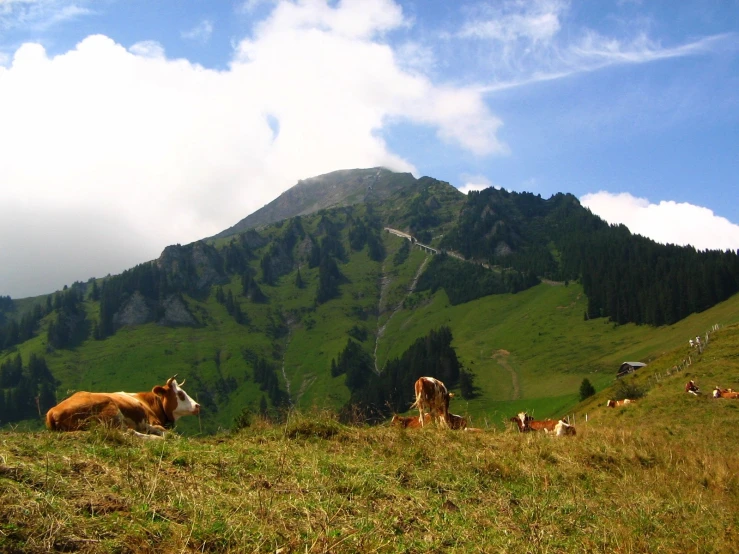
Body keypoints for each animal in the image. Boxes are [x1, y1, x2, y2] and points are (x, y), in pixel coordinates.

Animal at [47, 374, 201, 438]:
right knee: (127, 433)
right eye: (180, 394)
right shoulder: (152, 421)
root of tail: (52, 411)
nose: (197, 405)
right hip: (111, 410)